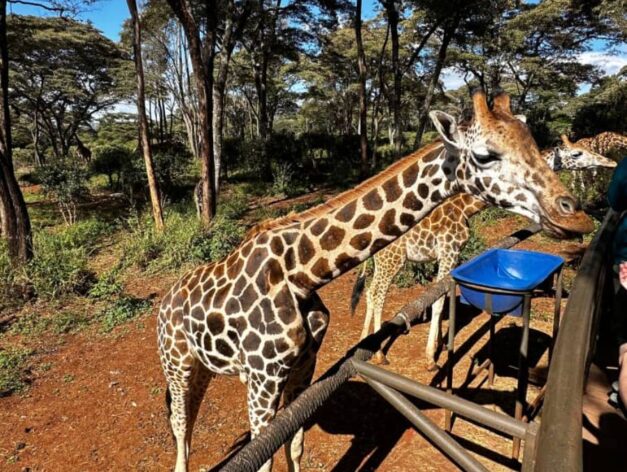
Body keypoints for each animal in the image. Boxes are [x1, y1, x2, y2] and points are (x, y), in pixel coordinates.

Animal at [157, 89, 592, 472]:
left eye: (533, 144)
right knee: (180, 426)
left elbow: (294, 447)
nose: (575, 216)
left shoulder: (303, 367)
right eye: (485, 155)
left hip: (204, 366)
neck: (302, 273)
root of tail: (163, 304)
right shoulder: (264, 376)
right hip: (176, 362)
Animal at [354, 135, 620, 366]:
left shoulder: (450, 254)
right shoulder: (449, 250)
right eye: (578, 153)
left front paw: (438, 344)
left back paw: (365, 342)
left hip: (381, 261)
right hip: (394, 258)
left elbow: (442, 296)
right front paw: (431, 358)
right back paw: (379, 355)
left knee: (370, 292)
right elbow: (438, 301)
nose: (611, 162)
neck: (465, 207)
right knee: (379, 295)